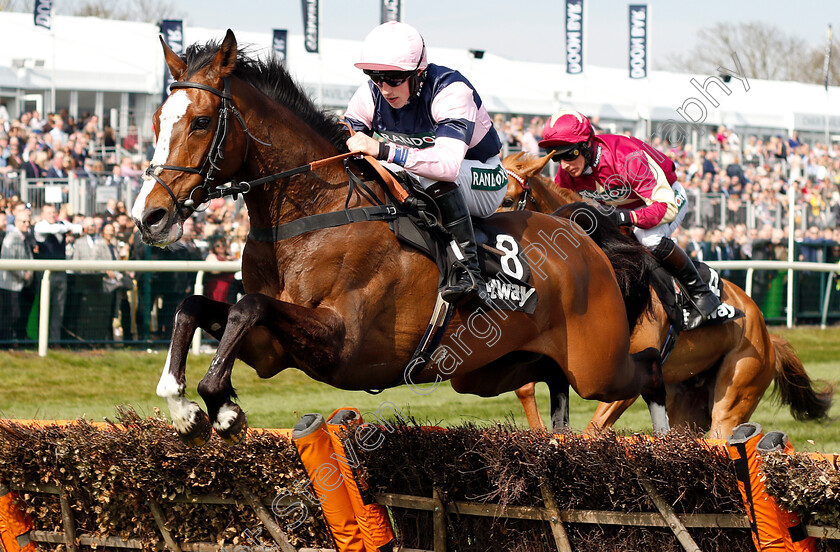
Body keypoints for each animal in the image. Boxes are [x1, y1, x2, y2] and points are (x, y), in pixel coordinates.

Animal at [130, 29, 664, 444]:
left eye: (201, 122)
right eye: (155, 121)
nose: (149, 216)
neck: (310, 218)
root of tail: (583, 236)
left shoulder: (341, 341)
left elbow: (248, 306)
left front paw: (220, 407)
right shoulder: (272, 351)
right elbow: (195, 306)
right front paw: (187, 406)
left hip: (596, 364)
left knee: (648, 371)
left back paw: (668, 439)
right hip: (492, 371)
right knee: (551, 381)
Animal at [498, 150, 832, 436]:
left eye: (509, 199)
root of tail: (767, 334)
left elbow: (593, 430)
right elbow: (525, 387)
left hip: (737, 391)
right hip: (687, 406)